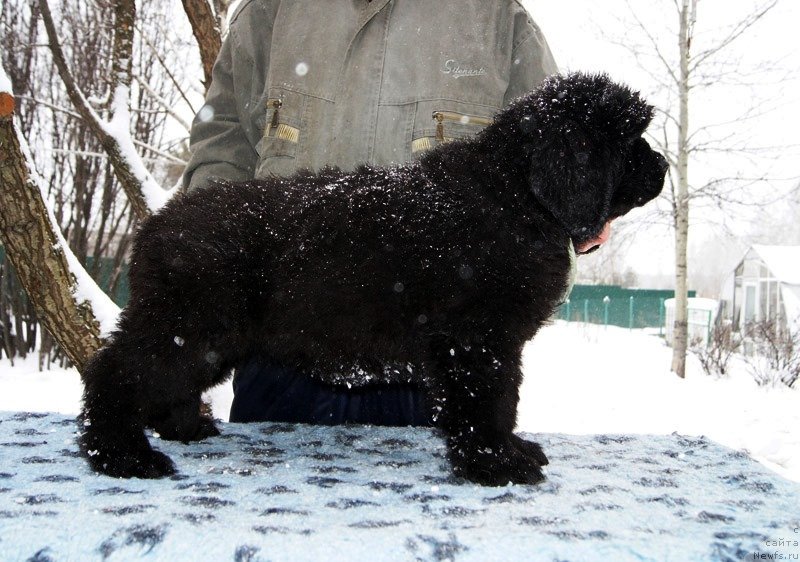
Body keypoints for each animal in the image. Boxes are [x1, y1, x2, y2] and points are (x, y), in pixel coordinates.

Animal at [81, 74, 668, 484]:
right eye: (628, 143)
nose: (663, 167)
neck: (515, 196)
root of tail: (154, 226)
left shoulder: (488, 342)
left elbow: (501, 403)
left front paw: (511, 451)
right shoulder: (476, 340)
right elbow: (489, 402)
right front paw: (496, 465)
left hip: (209, 338)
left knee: (164, 381)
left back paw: (185, 427)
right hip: (189, 324)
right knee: (116, 373)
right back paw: (122, 456)